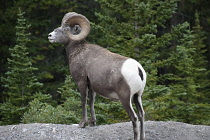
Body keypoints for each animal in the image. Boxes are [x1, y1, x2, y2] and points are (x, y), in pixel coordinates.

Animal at [48, 12, 146, 140]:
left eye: (65, 29)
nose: (50, 36)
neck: (79, 52)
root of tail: (138, 69)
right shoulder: (92, 87)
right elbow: (91, 102)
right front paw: (92, 123)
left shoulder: (82, 82)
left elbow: (83, 101)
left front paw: (82, 124)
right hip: (137, 96)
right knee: (141, 114)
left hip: (125, 98)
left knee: (134, 117)